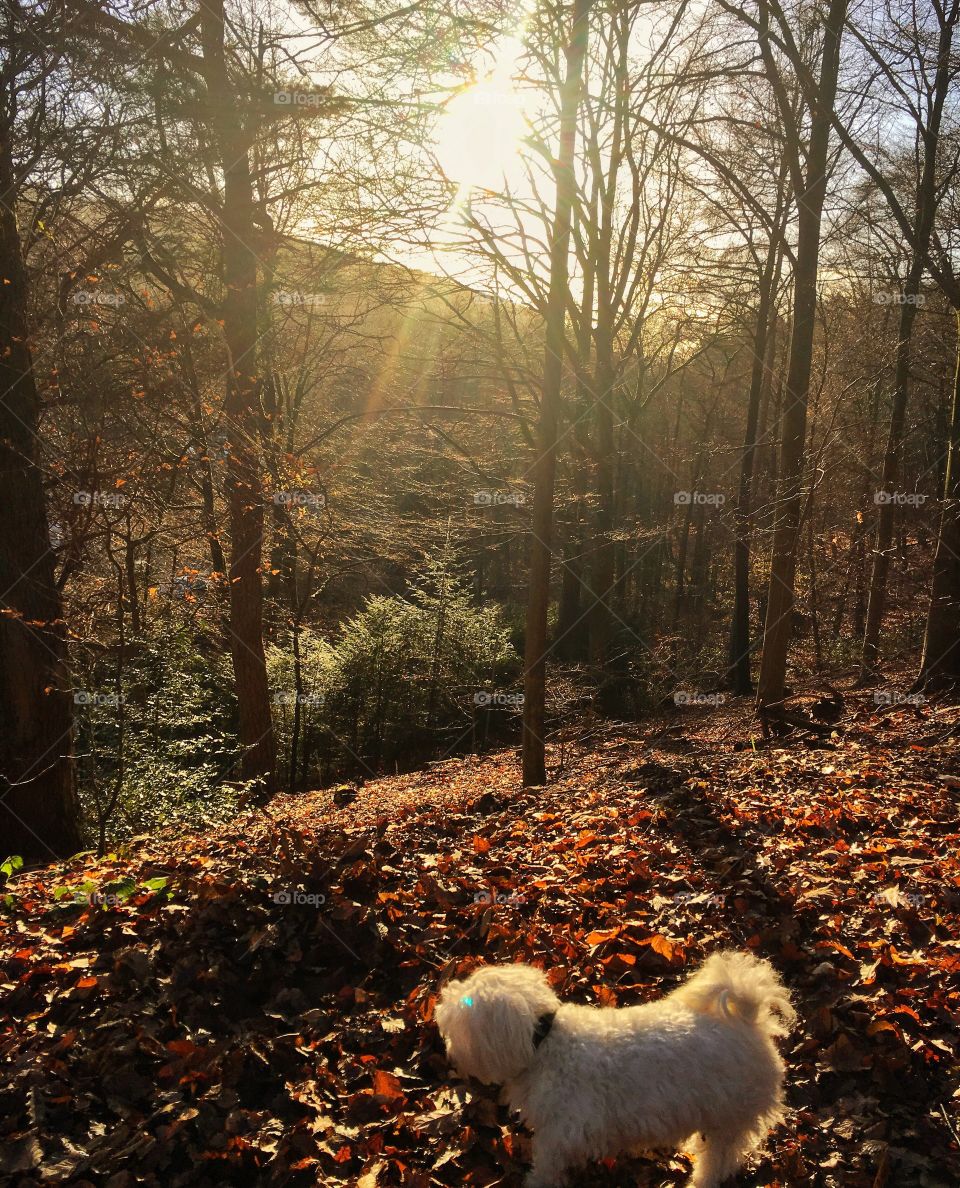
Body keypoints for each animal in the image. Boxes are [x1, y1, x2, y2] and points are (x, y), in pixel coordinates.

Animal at [434, 945, 793, 1188]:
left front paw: (536, 1182)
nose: (447, 1051)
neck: (545, 1041)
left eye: (457, 1022)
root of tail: (751, 1021)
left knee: (718, 1159)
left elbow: (548, 1165)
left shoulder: (563, 1131)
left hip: (730, 1116)